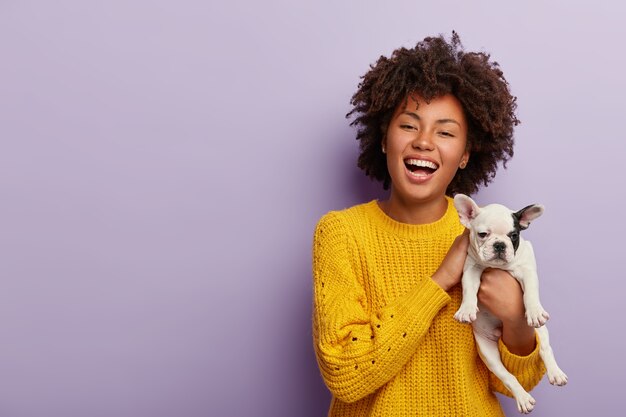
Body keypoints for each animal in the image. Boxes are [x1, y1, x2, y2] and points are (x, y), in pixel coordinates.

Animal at [454, 194, 564, 412]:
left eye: (513, 236)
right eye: (482, 234)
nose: (499, 245)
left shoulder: (527, 269)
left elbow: (530, 293)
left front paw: (534, 310)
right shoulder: (471, 268)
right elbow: (469, 288)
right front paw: (466, 309)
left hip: (541, 331)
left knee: (545, 349)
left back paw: (555, 373)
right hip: (487, 351)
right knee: (507, 375)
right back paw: (523, 398)